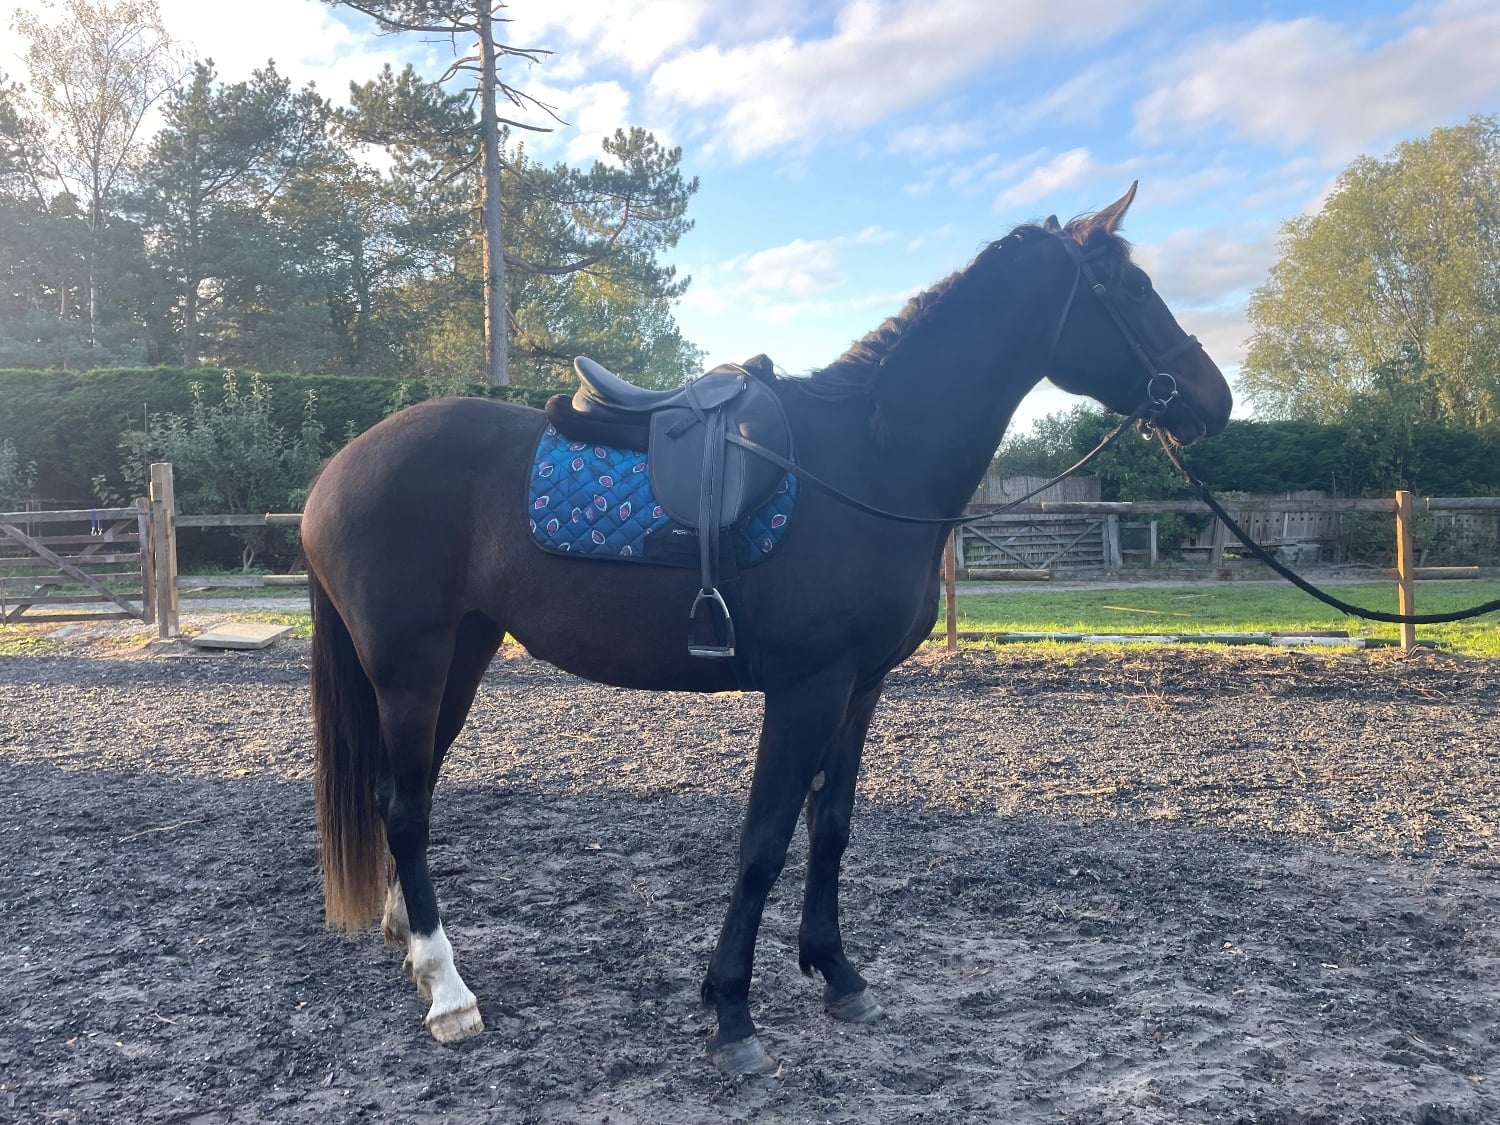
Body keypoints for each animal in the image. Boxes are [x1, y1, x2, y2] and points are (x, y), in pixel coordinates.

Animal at [300, 183, 1233, 1074]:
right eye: (1131, 288)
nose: (1214, 401)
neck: (871, 459)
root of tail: (336, 470)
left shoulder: (861, 686)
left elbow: (832, 826)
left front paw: (839, 973)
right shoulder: (807, 685)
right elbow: (764, 840)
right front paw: (732, 1013)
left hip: (460, 655)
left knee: (406, 793)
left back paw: (411, 942)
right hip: (412, 666)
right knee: (405, 807)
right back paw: (449, 991)